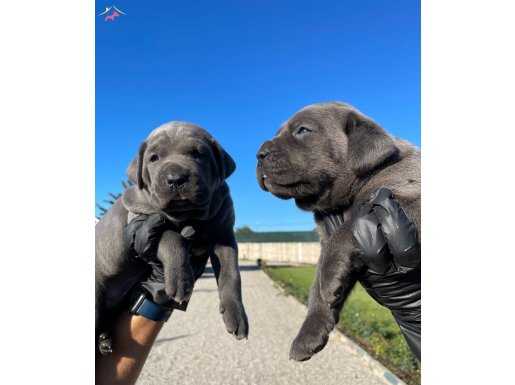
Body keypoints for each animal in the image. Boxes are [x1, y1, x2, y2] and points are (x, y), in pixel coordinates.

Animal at [98, 121, 251, 350]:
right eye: (154, 158)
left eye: (198, 154)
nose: (176, 179)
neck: (188, 215)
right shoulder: (142, 219)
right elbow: (172, 236)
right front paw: (181, 280)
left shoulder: (224, 235)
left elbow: (231, 273)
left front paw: (236, 315)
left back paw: (105, 340)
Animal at [256, 102, 422, 360]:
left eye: (303, 130)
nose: (259, 154)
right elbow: (316, 288)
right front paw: (310, 332)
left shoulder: (406, 202)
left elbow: (347, 228)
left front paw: (328, 282)